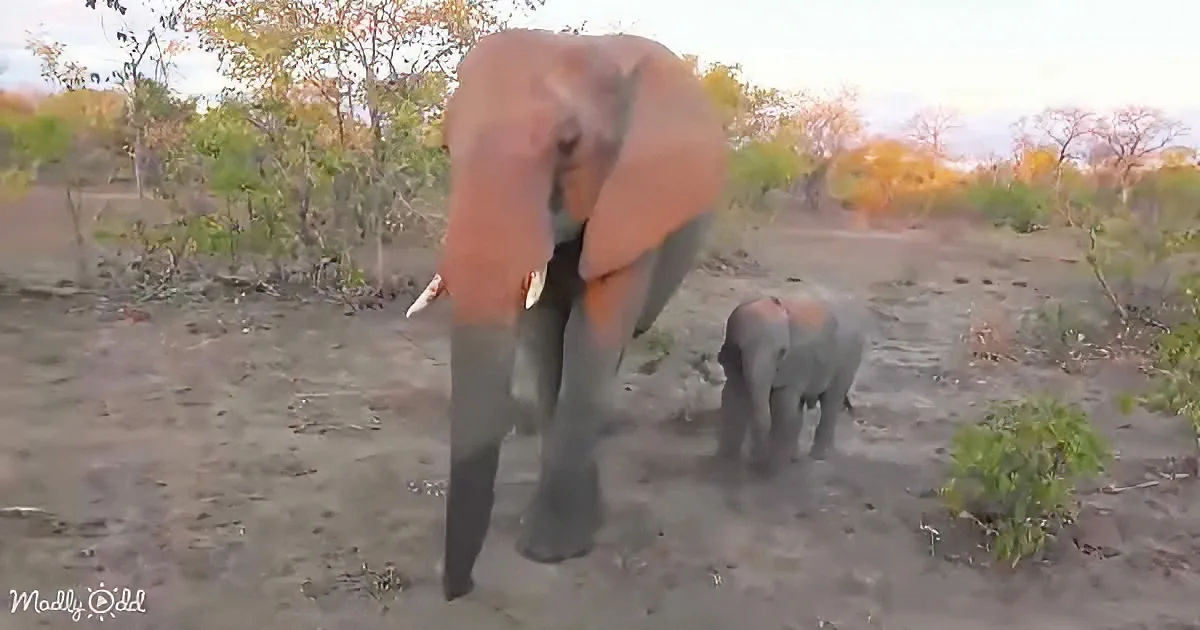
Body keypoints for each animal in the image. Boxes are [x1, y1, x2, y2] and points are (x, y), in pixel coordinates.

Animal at [403, 29, 728, 601]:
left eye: (568, 145)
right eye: (445, 148)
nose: (459, 590)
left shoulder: (633, 206)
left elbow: (589, 338)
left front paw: (553, 550)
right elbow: (543, 334)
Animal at [715, 294, 867, 474]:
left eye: (782, 352)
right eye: (739, 348)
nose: (755, 460)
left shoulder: (795, 362)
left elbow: (782, 404)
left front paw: (773, 469)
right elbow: (731, 396)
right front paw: (725, 462)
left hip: (847, 359)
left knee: (831, 401)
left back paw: (817, 457)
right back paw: (794, 457)